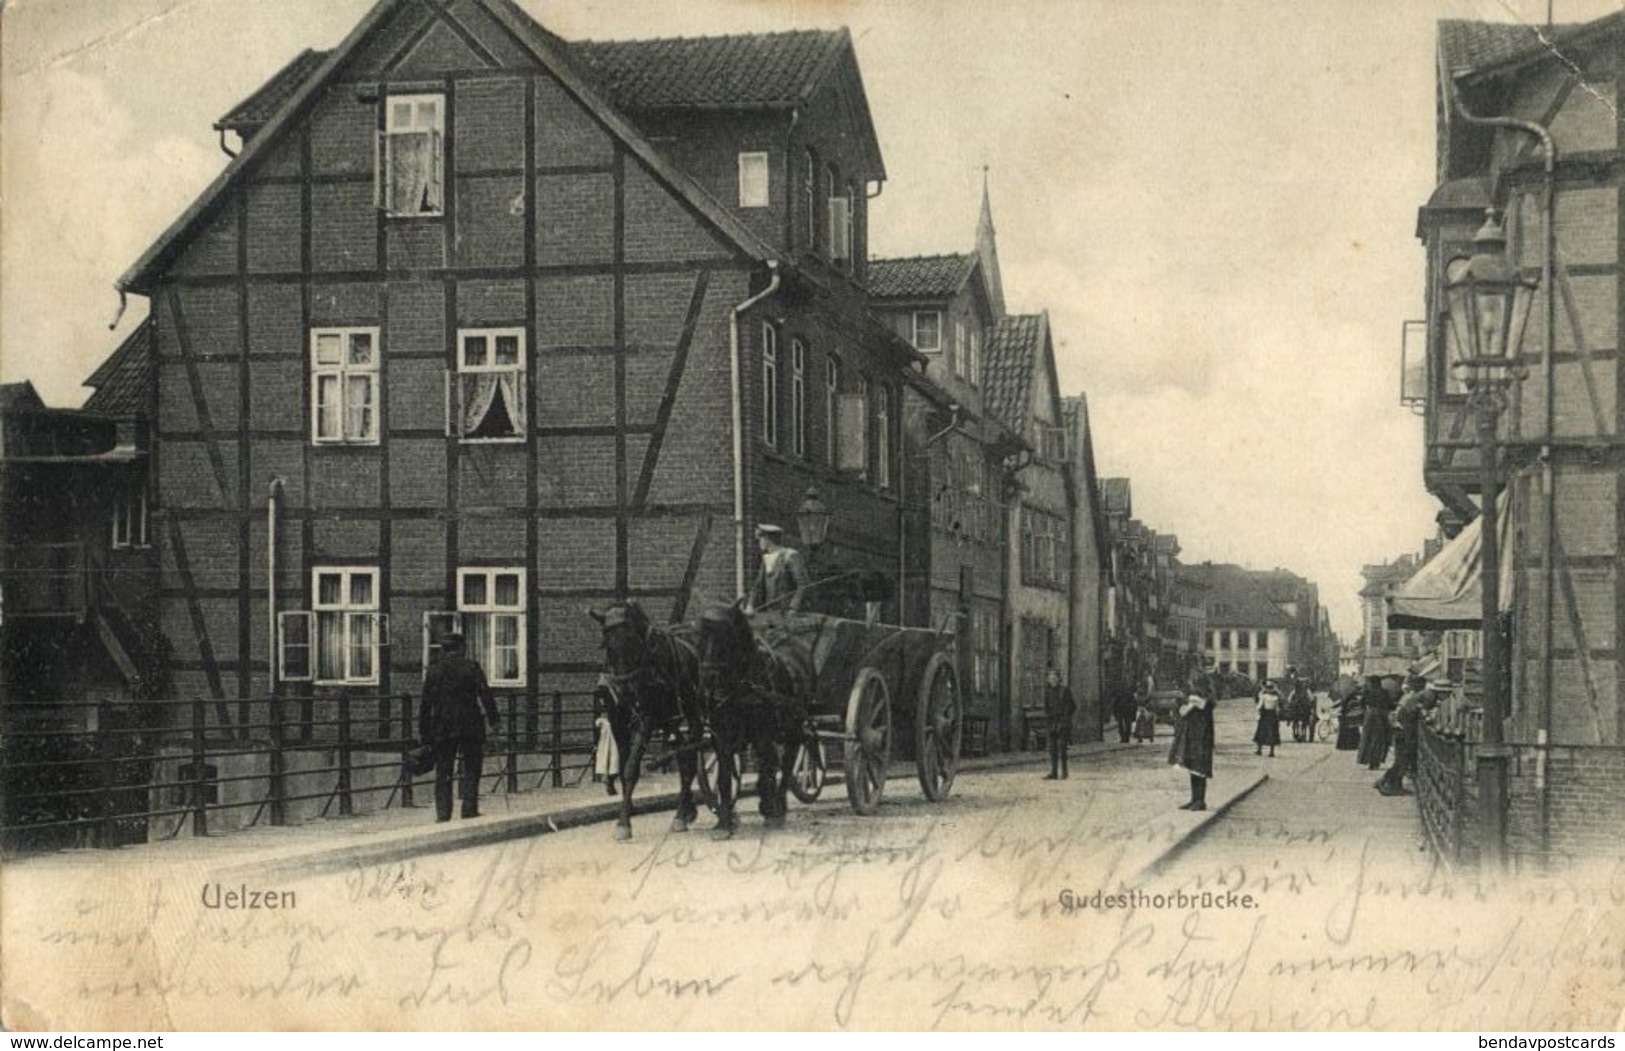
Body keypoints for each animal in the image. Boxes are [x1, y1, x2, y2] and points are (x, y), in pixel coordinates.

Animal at [591, 604, 705, 844]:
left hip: (692, 712)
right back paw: (687, 811)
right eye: (606, 641)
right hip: (669, 720)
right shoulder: (618, 721)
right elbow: (623, 767)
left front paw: (623, 824)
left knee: (691, 751)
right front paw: (627, 812)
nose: (624, 691)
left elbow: (631, 768)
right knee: (684, 753)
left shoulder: (647, 718)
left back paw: (680, 815)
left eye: (633, 640)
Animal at [689, 607, 809, 838]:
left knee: (786, 765)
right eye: (699, 640)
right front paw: (724, 823)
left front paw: (769, 810)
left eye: (725, 638)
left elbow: (767, 769)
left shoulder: (762, 734)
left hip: (793, 730)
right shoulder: (722, 737)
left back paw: (778, 806)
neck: (741, 685)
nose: (707, 683)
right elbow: (724, 778)